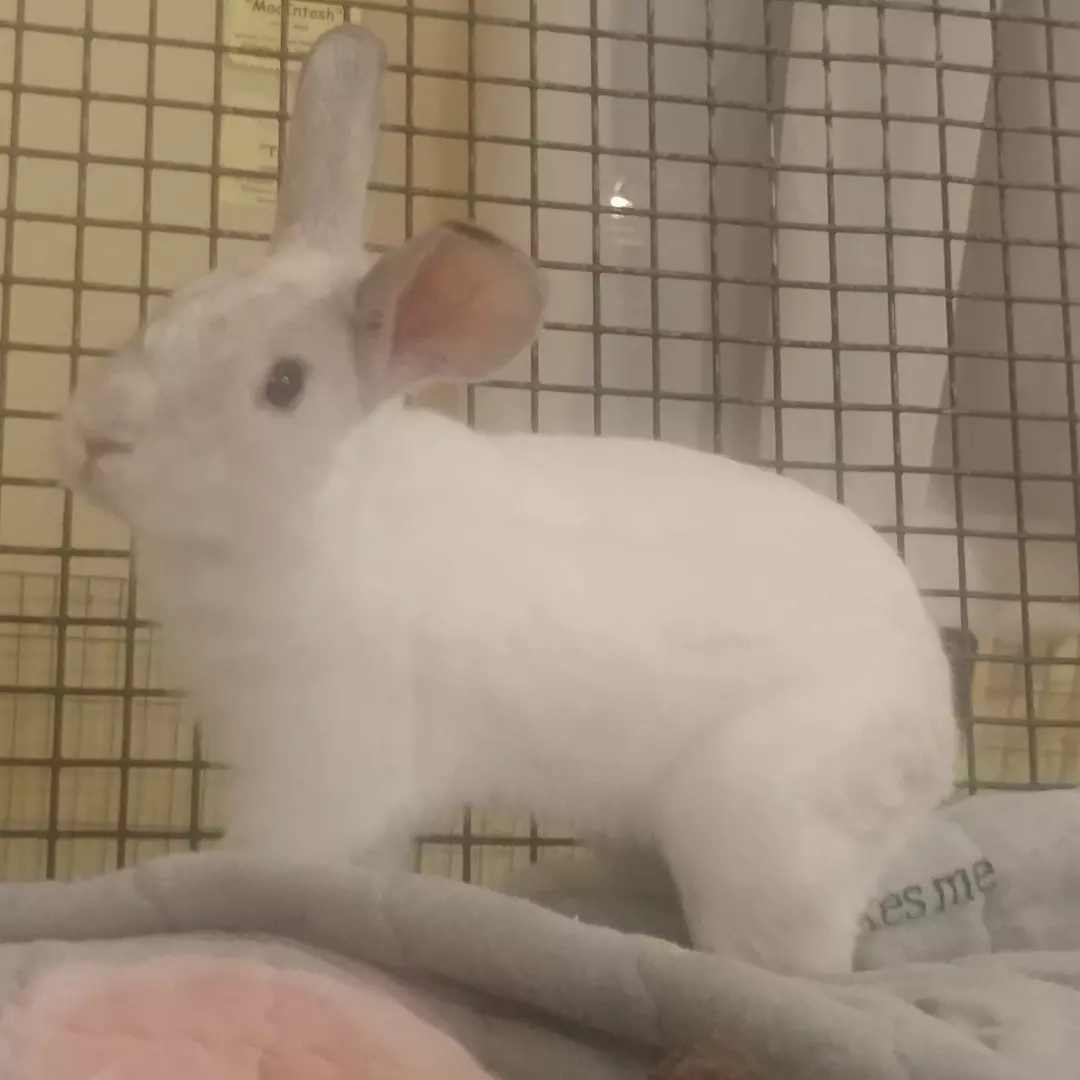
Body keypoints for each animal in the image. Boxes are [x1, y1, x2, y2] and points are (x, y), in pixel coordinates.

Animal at [59, 25, 956, 977]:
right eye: (171, 306)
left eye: (285, 384)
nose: (93, 439)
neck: (315, 512)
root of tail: (936, 726)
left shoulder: (324, 763)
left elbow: (273, 856)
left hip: (761, 821)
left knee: (800, 964)